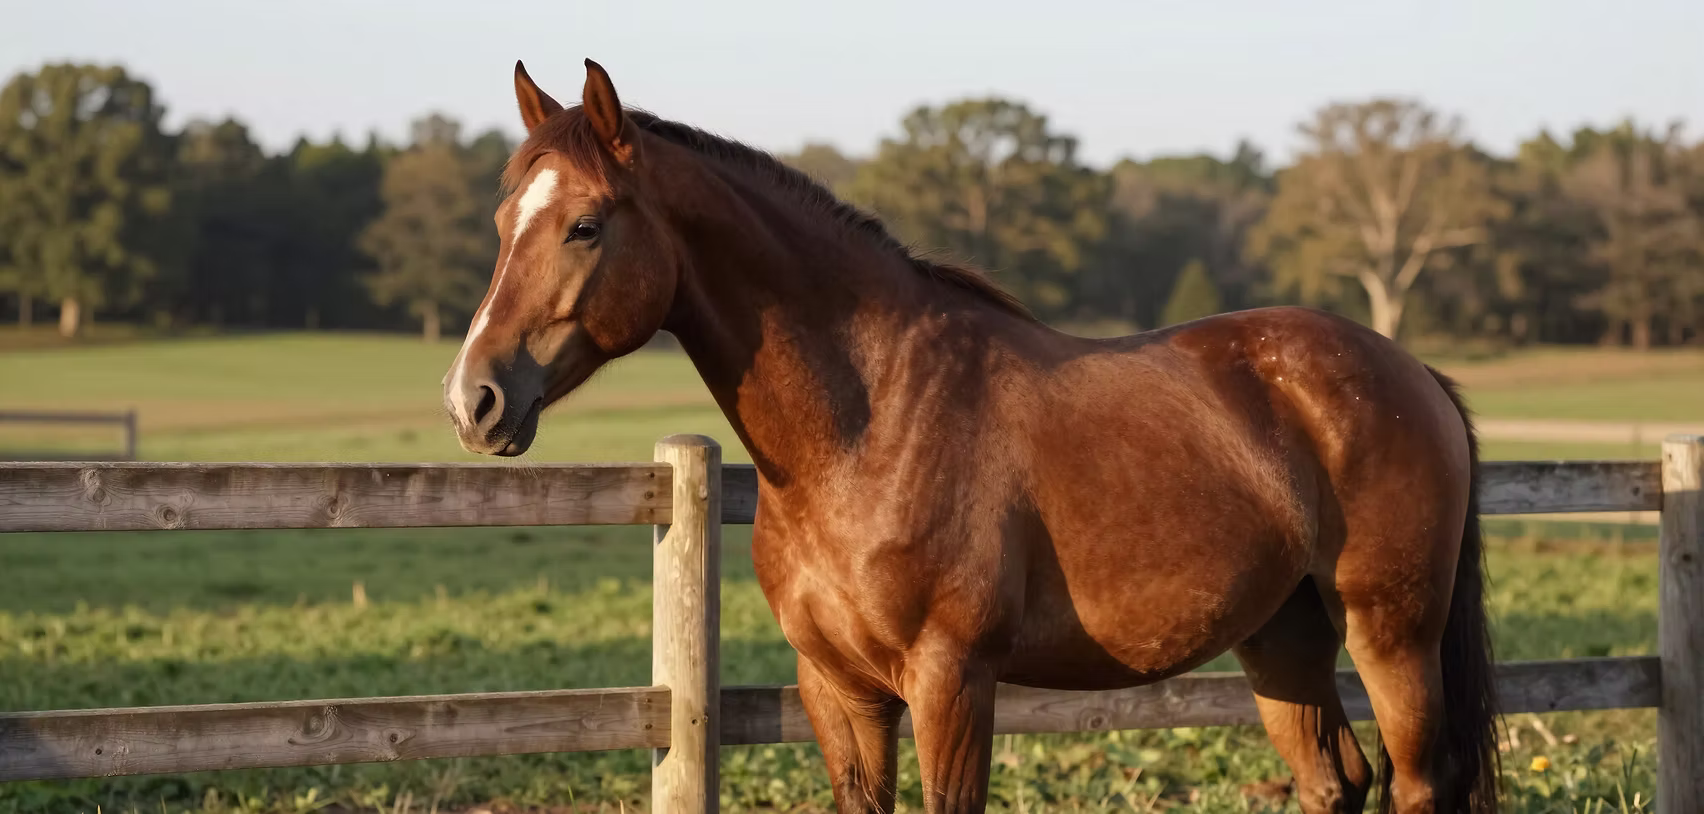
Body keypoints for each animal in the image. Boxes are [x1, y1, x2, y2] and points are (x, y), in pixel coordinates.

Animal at [441, 58, 1500, 814]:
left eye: (584, 225)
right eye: (501, 220)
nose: (473, 399)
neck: (869, 428)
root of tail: (1411, 373)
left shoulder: (952, 681)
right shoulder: (838, 689)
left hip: (1391, 633)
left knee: (1416, 784)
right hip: (1282, 637)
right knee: (1335, 783)